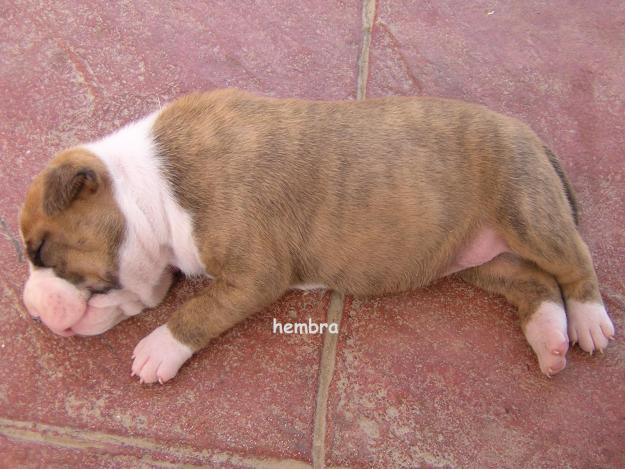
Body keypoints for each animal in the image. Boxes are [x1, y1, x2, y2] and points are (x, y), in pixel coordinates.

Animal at [19, 88, 616, 380]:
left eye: (42, 249)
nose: (29, 306)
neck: (150, 187)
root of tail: (530, 134)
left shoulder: (256, 275)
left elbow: (199, 310)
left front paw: (160, 348)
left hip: (527, 211)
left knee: (576, 262)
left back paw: (589, 321)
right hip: (487, 261)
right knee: (536, 284)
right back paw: (550, 338)